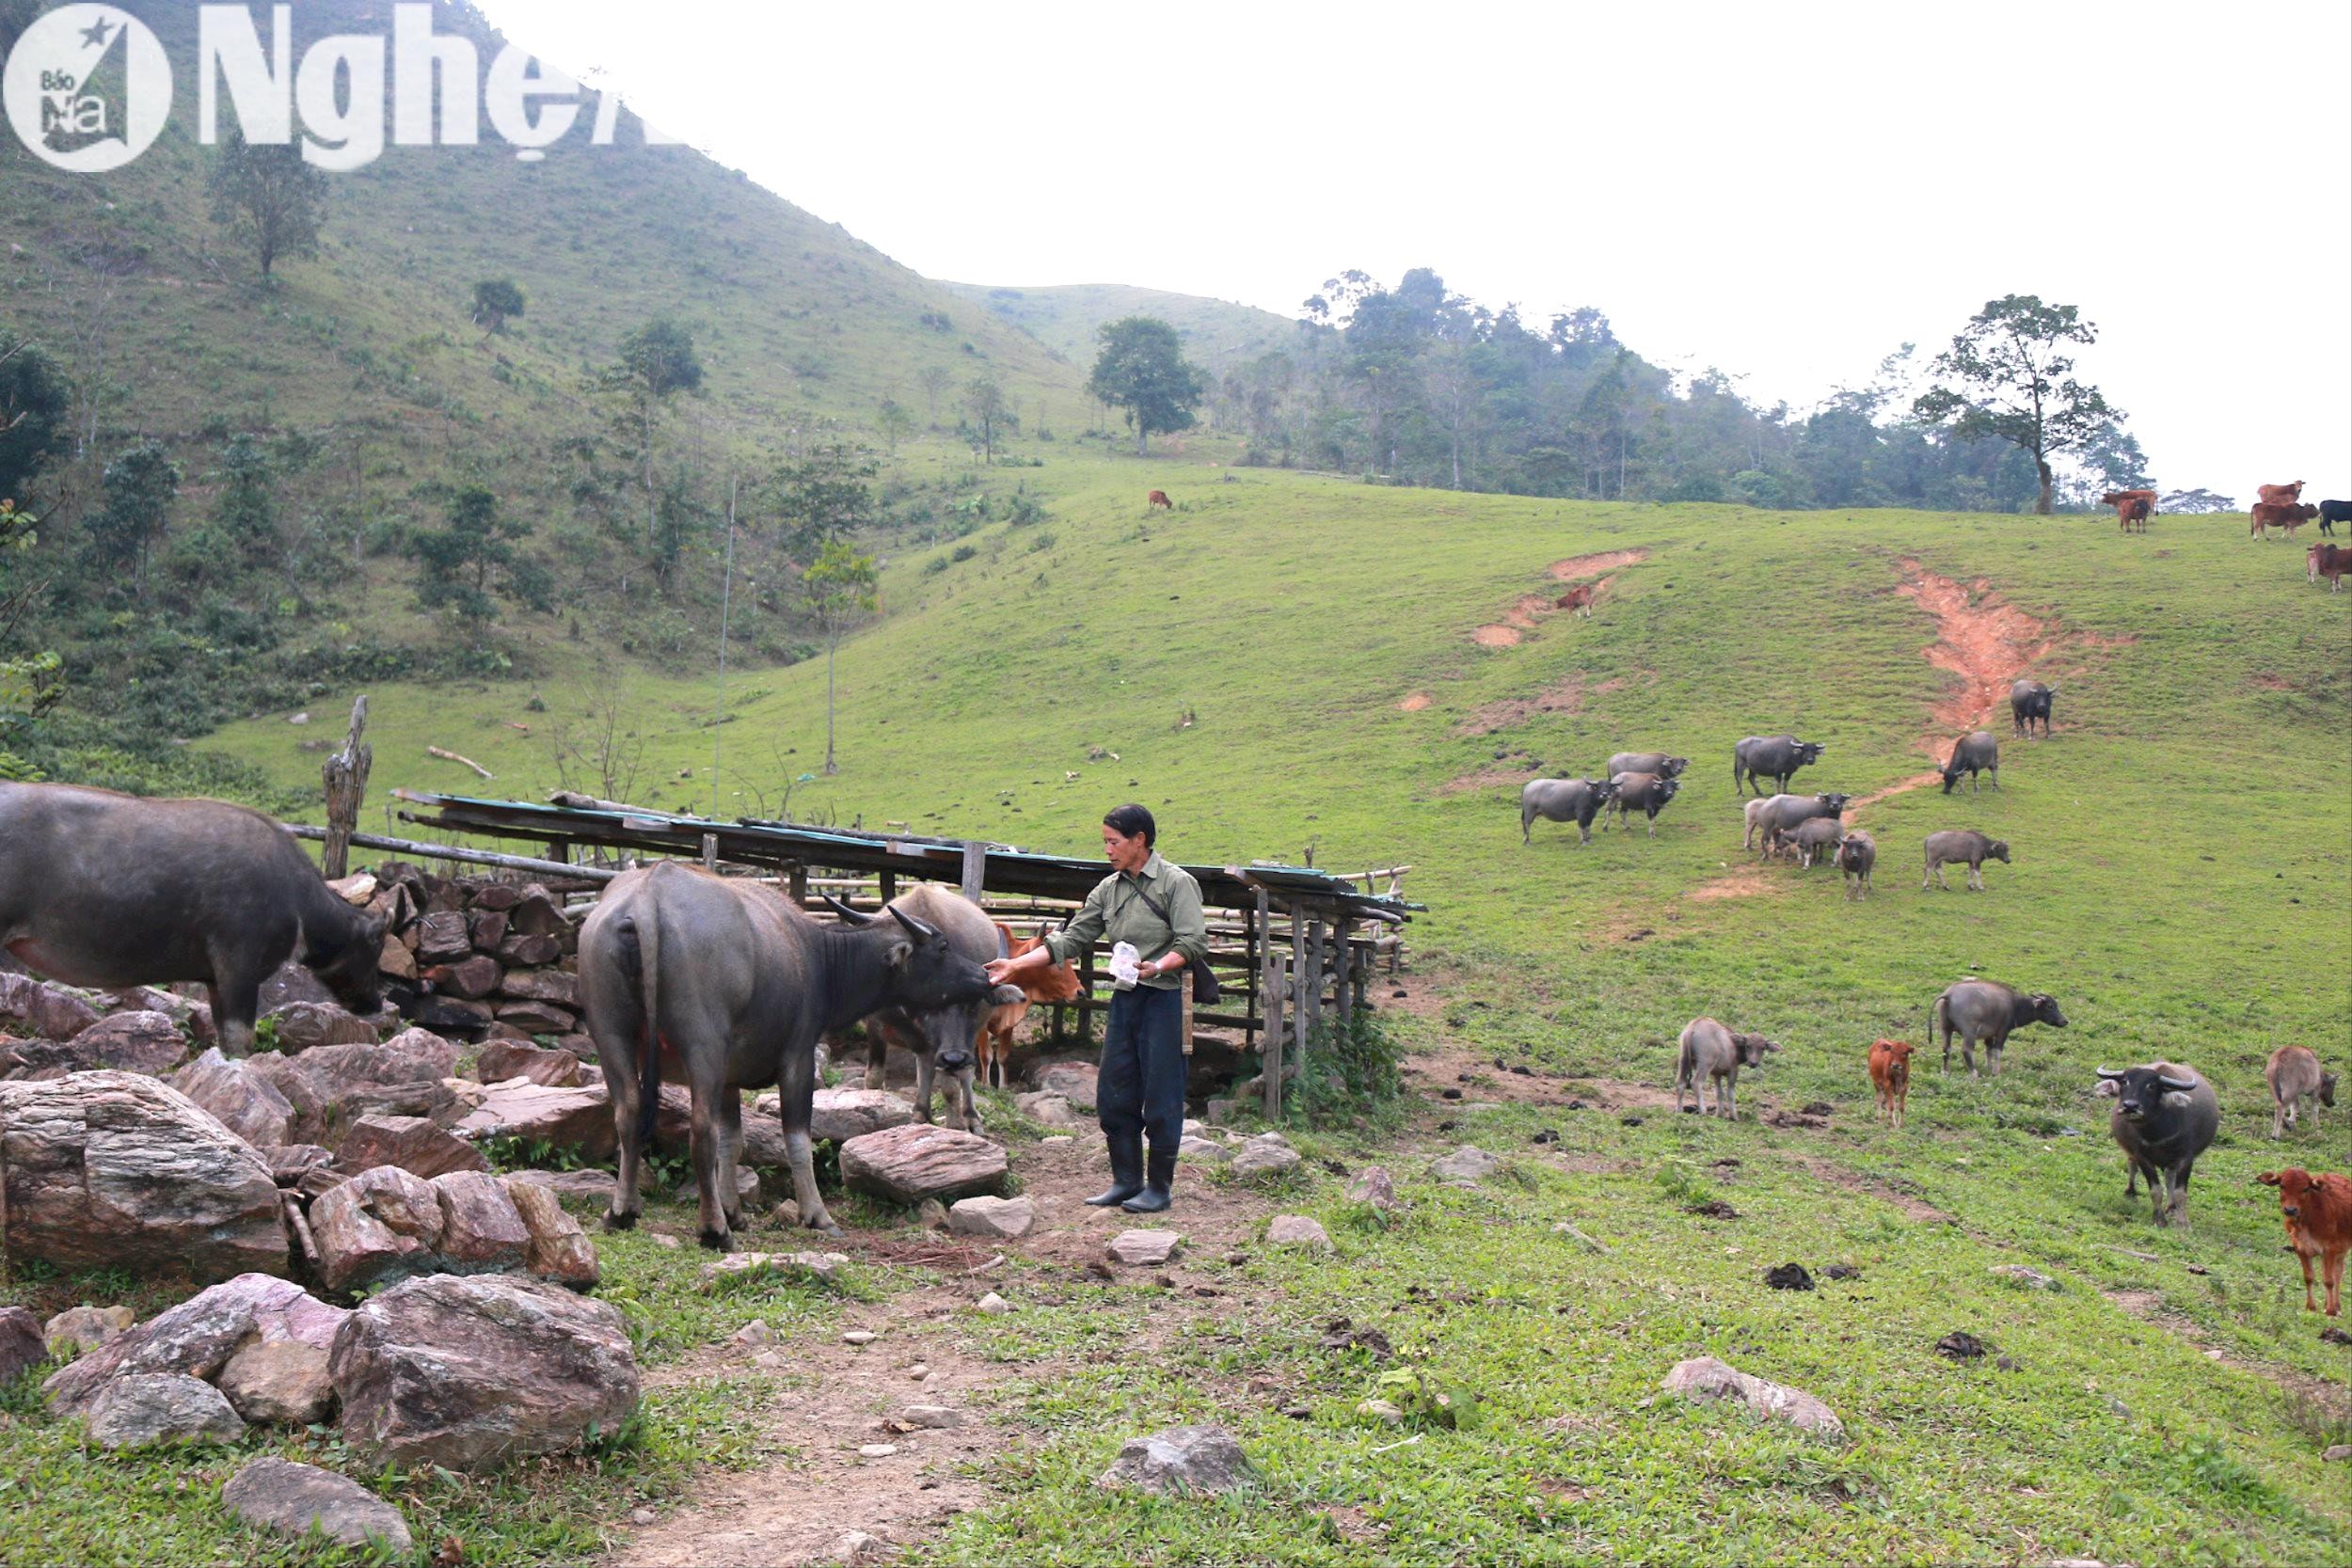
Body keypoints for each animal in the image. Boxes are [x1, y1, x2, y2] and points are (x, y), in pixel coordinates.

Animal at [0, 784, 386, 1053]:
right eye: (375, 947)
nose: (376, 1002)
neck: (295, 897)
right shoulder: (239, 966)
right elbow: (241, 1041)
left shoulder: (214, 979)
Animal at [583, 860, 1007, 1250]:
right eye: (942, 947)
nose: (983, 975)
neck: (818, 959)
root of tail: (648, 901)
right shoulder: (797, 1058)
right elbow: (797, 1139)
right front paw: (816, 1215)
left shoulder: (730, 1077)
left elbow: (733, 1141)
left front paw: (734, 1211)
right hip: (702, 1045)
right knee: (701, 1131)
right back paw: (713, 1230)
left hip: (611, 1036)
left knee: (629, 1114)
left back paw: (622, 1212)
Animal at [1938, 982, 2070, 1081]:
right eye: (2050, 1006)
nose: (2065, 1021)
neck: (2015, 1005)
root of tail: (1949, 995)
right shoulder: (2003, 1032)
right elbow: (1997, 1051)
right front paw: (1996, 1072)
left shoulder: (1989, 1035)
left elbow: (1989, 1050)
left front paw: (1989, 1067)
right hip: (1969, 1032)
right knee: (1966, 1050)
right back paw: (1974, 1073)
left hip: (1945, 1028)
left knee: (1946, 1049)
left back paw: (1945, 1072)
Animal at [2098, 1067, 2220, 1222]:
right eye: (2124, 1081)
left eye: (2152, 1086)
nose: (2130, 1106)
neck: (2157, 1134)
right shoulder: (2142, 1156)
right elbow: (2155, 1190)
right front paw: (2159, 1219)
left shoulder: (2186, 1157)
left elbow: (2180, 1192)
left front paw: (2183, 1222)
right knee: (2132, 1165)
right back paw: (2130, 1192)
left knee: (2169, 1176)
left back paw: (2171, 1207)